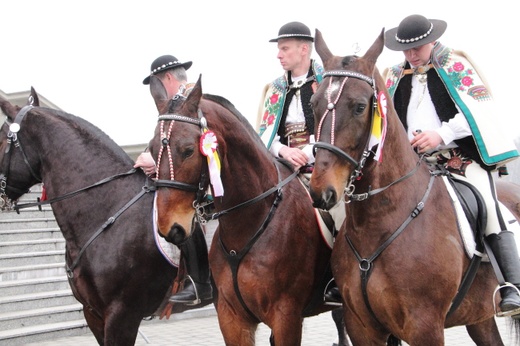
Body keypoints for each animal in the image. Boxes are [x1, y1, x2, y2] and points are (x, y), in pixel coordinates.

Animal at [146, 76, 350, 346]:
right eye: (151, 148)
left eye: (188, 150)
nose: (170, 227)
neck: (250, 222)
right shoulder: (232, 318)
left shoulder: (286, 317)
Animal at [306, 28, 520, 344]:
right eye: (314, 104)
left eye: (359, 107)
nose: (321, 191)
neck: (381, 221)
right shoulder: (362, 327)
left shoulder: (424, 326)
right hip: (480, 318)